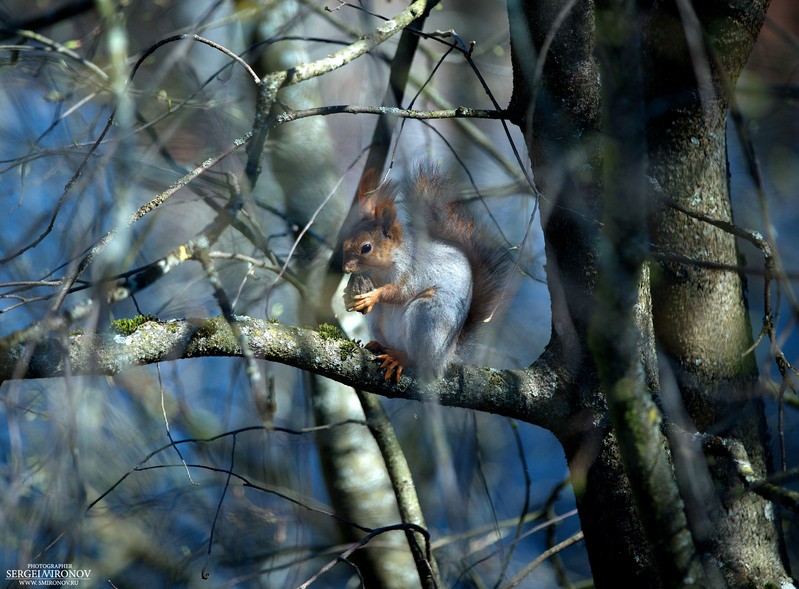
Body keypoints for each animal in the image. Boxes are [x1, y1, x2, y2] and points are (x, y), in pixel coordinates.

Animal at [340, 163, 510, 378]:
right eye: (345, 241)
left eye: (366, 247)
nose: (346, 268)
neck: (382, 268)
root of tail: (446, 357)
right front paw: (347, 294)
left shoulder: (412, 270)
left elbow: (402, 292)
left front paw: (373, 296)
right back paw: (380, 346)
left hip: (427, 315)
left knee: (420, 360)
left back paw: (400, 358)